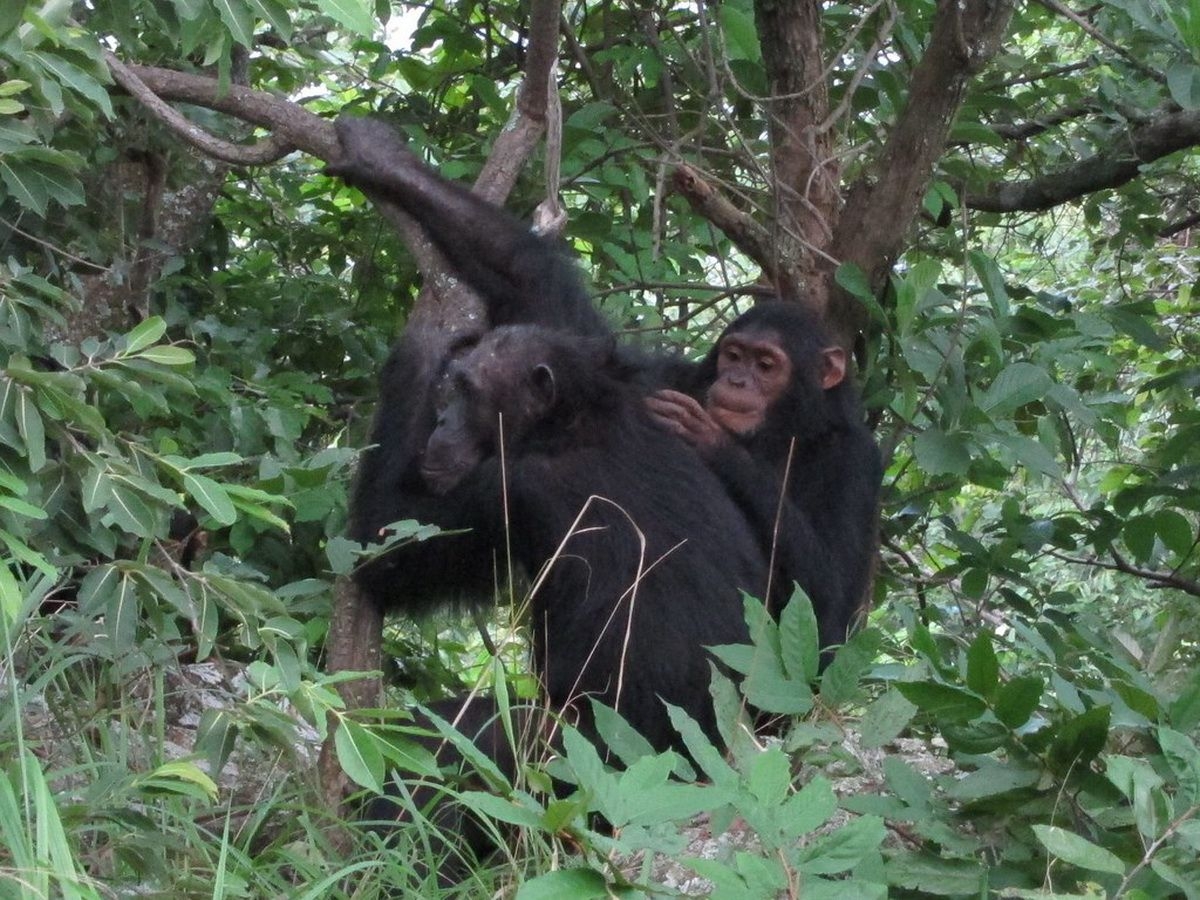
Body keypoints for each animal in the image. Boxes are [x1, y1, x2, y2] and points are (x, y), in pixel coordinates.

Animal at [333, 118, 888, 657]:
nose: (737, 379)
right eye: (734, 356)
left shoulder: (506, 492)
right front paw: (383, 156)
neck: (576, 418)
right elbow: (542, 285)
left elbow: (384, 548)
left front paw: (423, 343)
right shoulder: (646, 377)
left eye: (767, 365)